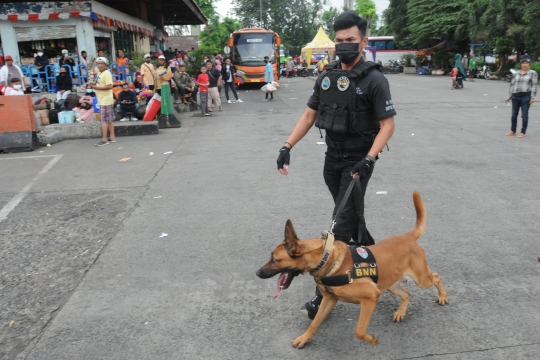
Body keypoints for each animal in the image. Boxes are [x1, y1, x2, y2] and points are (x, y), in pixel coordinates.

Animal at [258, 193, 448, 348]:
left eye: (274, 259)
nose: (257, 273)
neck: (328, 260)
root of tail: (408, 236)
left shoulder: (371, 297)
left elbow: (359, 330)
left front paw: (371, 340)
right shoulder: (329, 300)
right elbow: (315, 323)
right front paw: (304, 338)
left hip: (421, 280)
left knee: (436, 276)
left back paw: (443, 296)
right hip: (390, 284)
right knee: (407, 294)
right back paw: (401, 312)